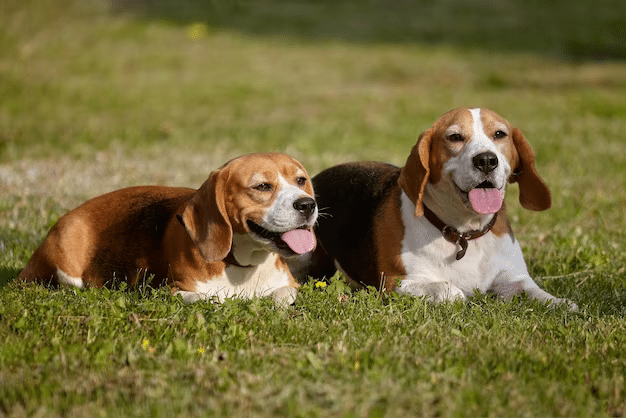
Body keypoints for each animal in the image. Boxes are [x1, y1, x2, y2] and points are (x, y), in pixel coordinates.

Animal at [18, 152, 316, 306]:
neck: (243, 264)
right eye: (263, 186)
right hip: (68, 249)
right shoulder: (175, 290)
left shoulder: (290, 286)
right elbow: (211, 298)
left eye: (301, 180)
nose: (308, 205)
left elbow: (282, 296)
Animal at [292, 108, 576, 308]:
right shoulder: (395, 282)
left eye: (500, 134)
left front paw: (562, 303)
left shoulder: (514, 278)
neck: (464, 232)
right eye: (455, 137)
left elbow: (538, 292)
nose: (486, 160)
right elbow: (451, 290)